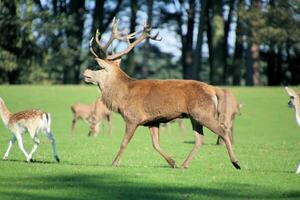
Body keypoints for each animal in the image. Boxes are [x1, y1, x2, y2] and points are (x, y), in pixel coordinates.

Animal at [83, 18, 240, 170]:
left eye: (98, 67)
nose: (85, 72)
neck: (122, 96)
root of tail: (214, 90)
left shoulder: (132, 118)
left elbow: (124, 143)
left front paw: (114, 163)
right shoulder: (152, 121)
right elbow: (155, 144)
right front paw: (172, 162)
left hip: (204, 113)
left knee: (223, 130)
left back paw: (235, 162)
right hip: (195, 116)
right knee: (200, 138)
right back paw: (184, 165)